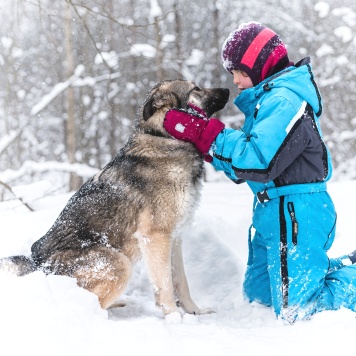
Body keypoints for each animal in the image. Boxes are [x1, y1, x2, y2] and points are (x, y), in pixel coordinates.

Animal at [0, 79, 229, 316]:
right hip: (119, 262)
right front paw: (174, 317)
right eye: (195, 89)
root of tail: (36, 263)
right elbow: (165, 285)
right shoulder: (156, 237)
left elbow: (181, 282)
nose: (228, 89)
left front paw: (194, 311)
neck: (164, 138)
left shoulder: (174, 239)